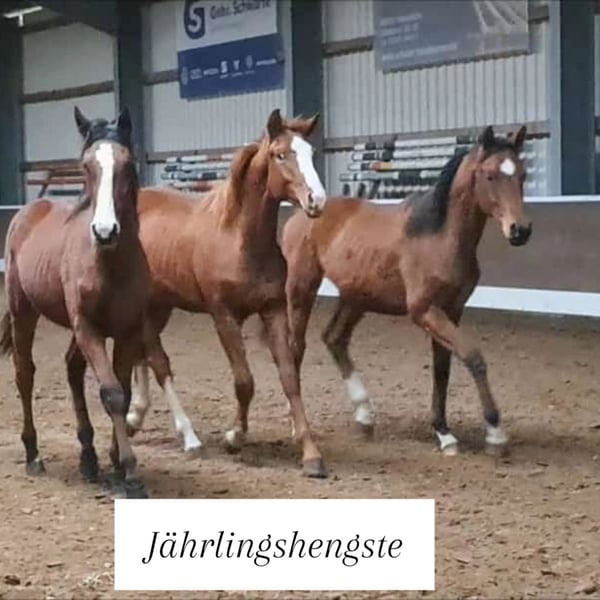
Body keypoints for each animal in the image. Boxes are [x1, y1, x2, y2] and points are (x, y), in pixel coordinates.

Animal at [0, 106, 152, 498]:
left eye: (127, 164)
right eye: (86, 166)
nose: (105, 231)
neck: (111, 263)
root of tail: (27, 212)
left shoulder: (128, 331)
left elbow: (123, 391)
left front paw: (115, 464)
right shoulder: (89, 329)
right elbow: (111, 393)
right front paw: (130, 472)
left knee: (71, 368)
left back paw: (88, 459)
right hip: (25, 312)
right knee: (25, 374)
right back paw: (34, 454)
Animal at [124, 109, 330, 477]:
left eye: (311, 152)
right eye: (280, 154)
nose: (316, 201)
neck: (238, 238)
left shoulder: (274, 310)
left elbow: (290, 377)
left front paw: (311, 455)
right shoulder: (224, 316)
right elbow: (244, 381)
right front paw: (235, 436)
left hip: (158, 307)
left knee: (142, 354)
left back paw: (135, 417)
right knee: (158, 362)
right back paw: (189, 438)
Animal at [281, 125, 531, 457]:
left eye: (522, 174)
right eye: (490, 175)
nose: (520, 230)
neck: (438, 235)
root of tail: (304, 212)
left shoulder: (451, 310)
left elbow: (442, 369)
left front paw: (444, 433)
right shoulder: (425, 311)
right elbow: (473, 357)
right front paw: (495, 434)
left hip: (356, 298)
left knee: (334, 338)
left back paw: (364, 416)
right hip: (302, 288)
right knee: (296, 347)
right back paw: (296, 420)